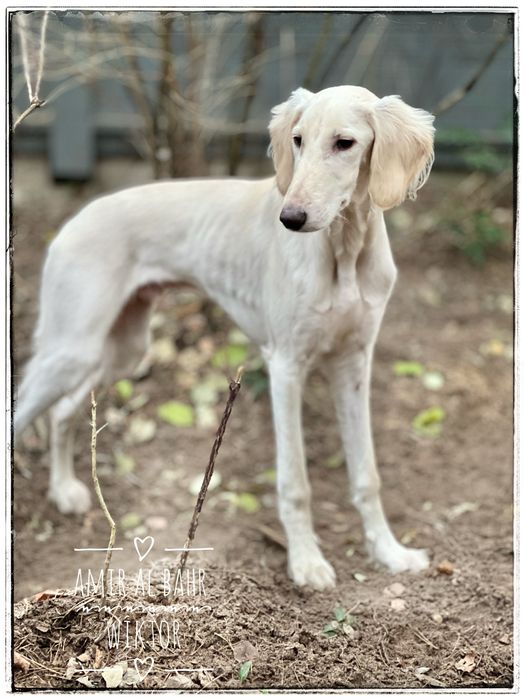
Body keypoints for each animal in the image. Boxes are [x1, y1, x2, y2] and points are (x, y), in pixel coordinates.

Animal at [14, 85, 435, 590]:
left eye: (345, 143)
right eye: (297, 139)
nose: (290, 218)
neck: (344, 251)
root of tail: (74, 220)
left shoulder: (354, 362)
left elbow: (366, 474)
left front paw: (389, 552)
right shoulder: (286, 366)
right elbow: (295, 482)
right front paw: (306, 562)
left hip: (119, 349)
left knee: (61, 413)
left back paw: (63, 491)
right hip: (71, 350)